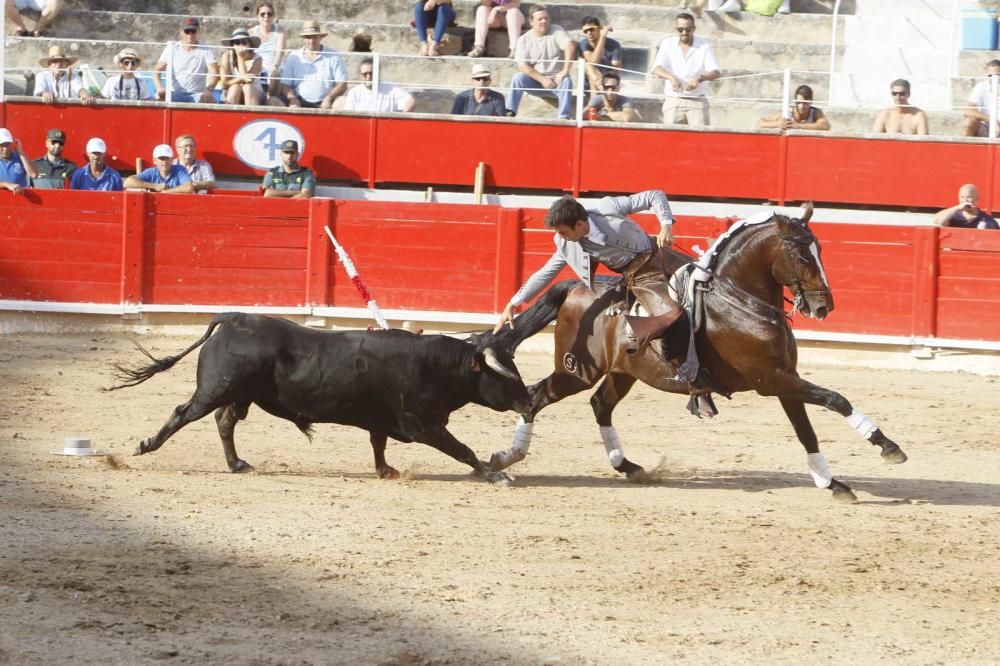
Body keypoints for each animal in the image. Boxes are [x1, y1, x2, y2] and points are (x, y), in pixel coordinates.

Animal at [107, 312, 532, 482]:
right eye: (506, 375)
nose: (529, 402)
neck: (437, 366)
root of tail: (233, 318)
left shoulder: (383, 420)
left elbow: (378, 444)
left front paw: (385, 471)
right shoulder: (423, 424)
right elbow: (463, 449)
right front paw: (495, 474)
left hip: (239, 394)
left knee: (225, 422)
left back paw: (237, 464)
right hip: (215, 389)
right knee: (184, 413)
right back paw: (144, 446)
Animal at [488, 205, 912, 500]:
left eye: (820, 248)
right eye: (803, 256)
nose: (824, 307)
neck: (741, 301)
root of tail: (575, 288)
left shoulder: (784, 381)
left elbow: (806, 430)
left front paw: (832, 482)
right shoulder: (774, 381)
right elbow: (835, 400)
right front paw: (888, 447)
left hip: (622, 373)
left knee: (599, 405)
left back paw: (628, 466)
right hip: (577, 371)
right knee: (536, 396)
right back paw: (505, 459)